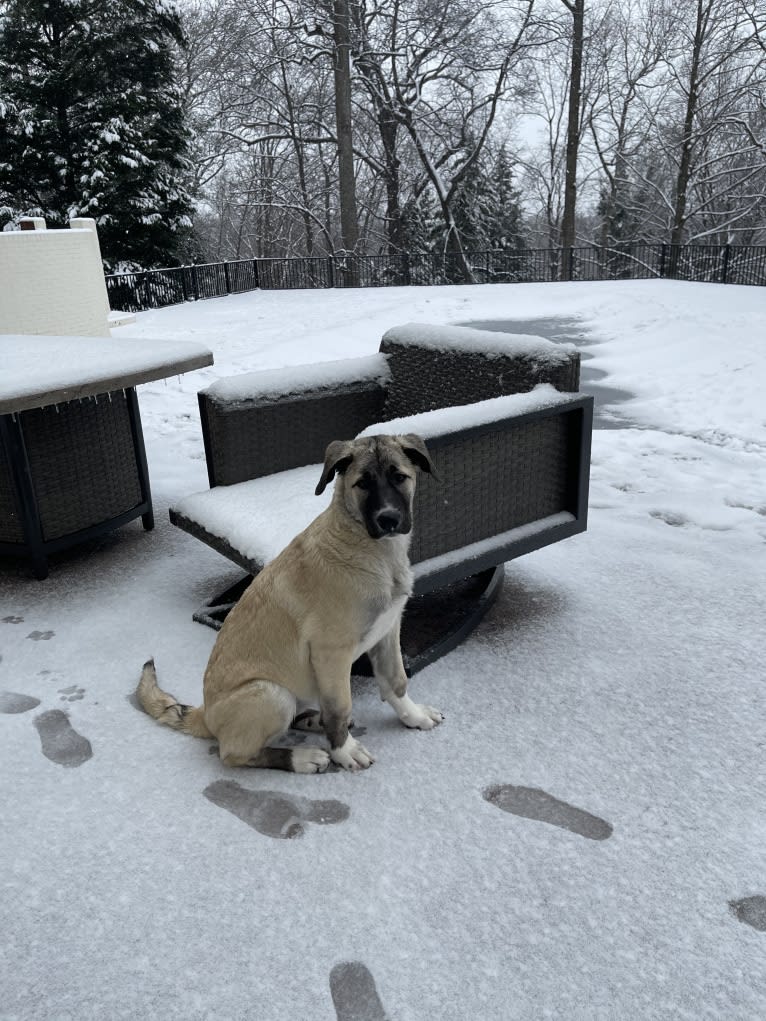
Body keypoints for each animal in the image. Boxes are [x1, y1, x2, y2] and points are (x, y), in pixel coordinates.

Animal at [137, 432, 443, 771]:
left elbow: (395, 681)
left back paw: (314, 721)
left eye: (400, 477)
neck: (369, 547)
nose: (388, 519)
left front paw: (413, 716)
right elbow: (341, 706)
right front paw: (344, 751)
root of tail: (206, 714)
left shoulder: (387, 631)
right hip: (271, 694)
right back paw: (302, 757)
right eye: (362, 484)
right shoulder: (330, 652)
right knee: (236, 754)